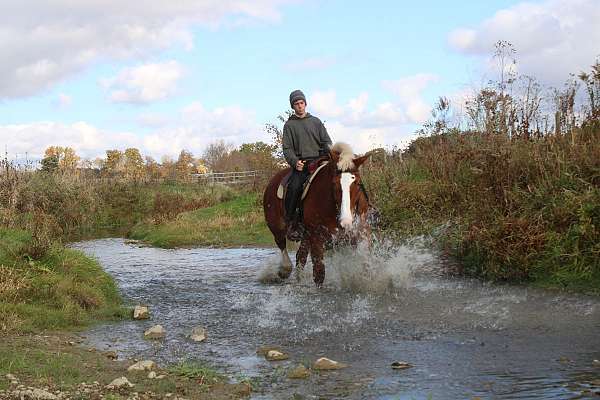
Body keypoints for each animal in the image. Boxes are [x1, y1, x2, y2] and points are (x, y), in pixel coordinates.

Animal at [262, 142, 370, 286]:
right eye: (334, 184)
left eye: (357, 183)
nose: (346, 221)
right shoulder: (316, 238)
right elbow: (319, 273)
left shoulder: (359, 235)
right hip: (277, 227)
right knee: (282, 246)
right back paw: (284, 270)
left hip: (305, 235)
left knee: (300, 257)